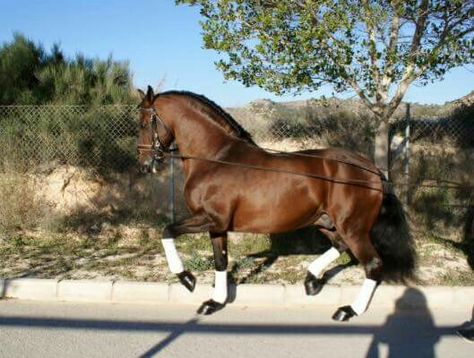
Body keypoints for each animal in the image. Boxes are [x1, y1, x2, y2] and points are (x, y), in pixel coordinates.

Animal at [136, 86, 414, 322]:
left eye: (143, 123)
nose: (145, 164)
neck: (216, 158)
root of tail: (373, 171)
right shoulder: (217, 226)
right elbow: (220, 261)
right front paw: (214, 302)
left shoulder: (211, 219)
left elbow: (167, 231)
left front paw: (187, 279)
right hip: (326, 222)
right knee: (340, 246)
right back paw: (311, 280)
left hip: (353, 227)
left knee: (372, 264)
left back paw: (348, 310)